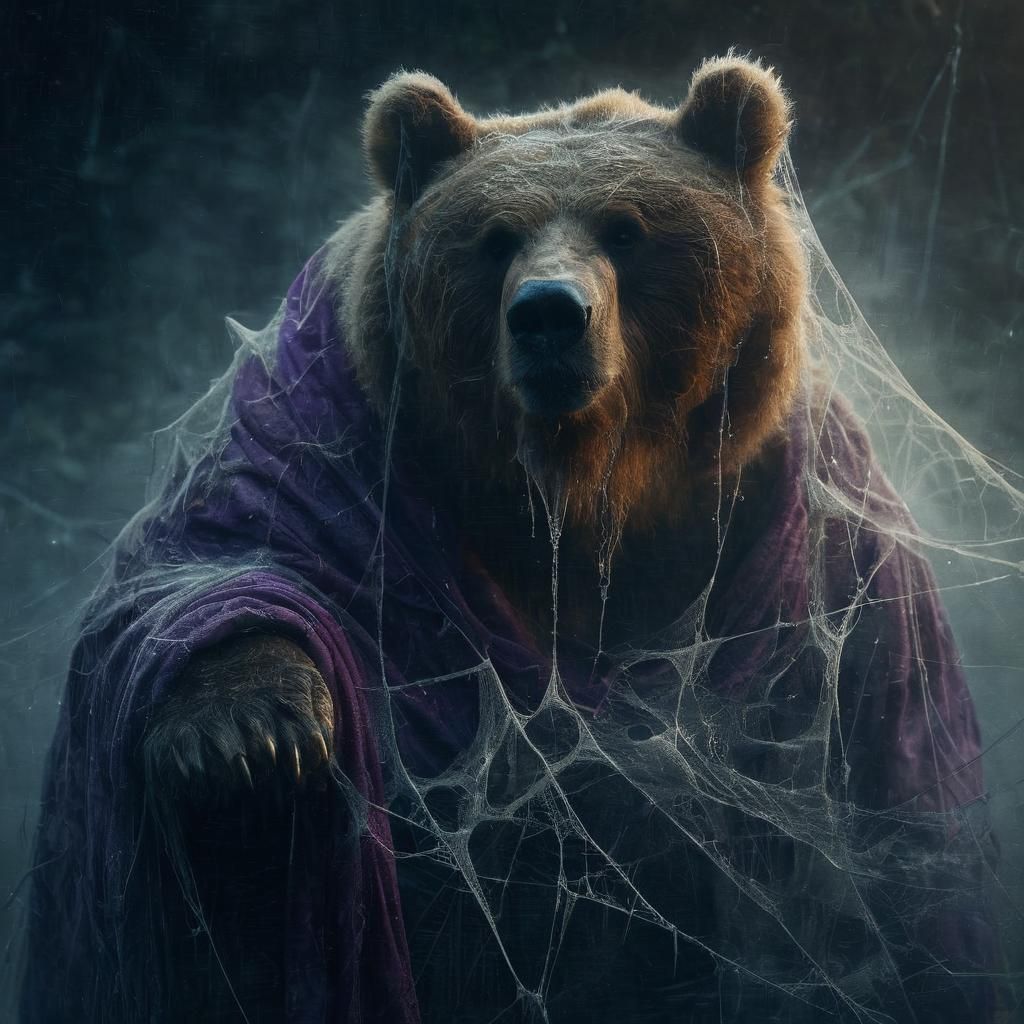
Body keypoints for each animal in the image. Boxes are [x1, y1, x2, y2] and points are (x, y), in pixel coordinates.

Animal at [21, 56, 996, 1024]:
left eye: (627, 230)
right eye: (494, 239)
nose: (549, 314)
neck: (584, 499)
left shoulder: (822, 564)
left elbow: (886, 797)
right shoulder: (327, 461)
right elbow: (202, 575)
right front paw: (247, 735)